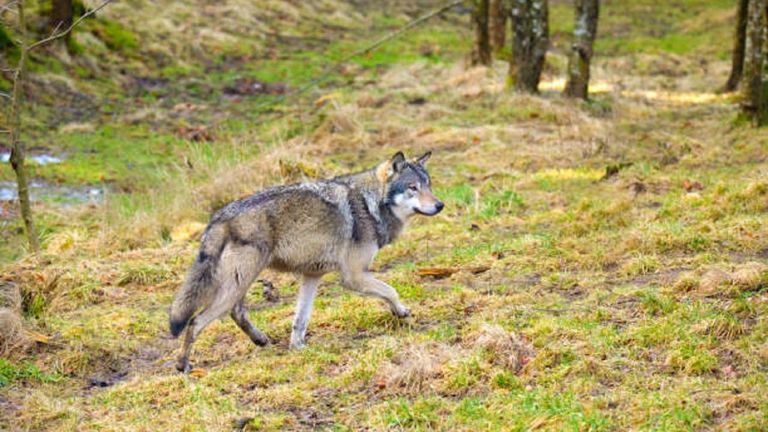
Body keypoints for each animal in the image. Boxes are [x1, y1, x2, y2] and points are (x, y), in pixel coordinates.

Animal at [169, 151, 443, 372]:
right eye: (412, 187)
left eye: (428, 185)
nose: (440, 205)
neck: (370, 204)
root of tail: (219, 217)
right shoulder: (353, 276)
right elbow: (391, 290)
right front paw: (402, 312)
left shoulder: (312, 275)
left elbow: (300, 320)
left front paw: (298, 348)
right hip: (239, 282)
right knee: (195, 321)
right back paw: (183, 365)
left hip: (239, 283)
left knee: (236, 312)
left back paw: (261, 340)